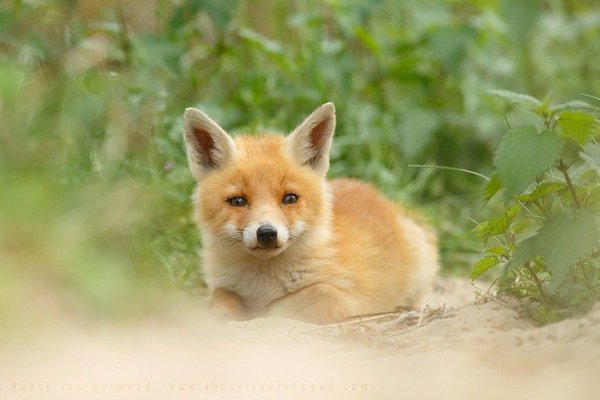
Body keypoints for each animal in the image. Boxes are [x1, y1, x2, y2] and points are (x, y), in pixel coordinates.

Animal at [184, 101, 440, 324]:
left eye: (290, 198)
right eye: (238, 201)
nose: (266, 233)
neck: (262, 285)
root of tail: (371, 190)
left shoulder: (357, 301)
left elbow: (296, 300)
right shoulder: (221, 287)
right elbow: (221, 299)